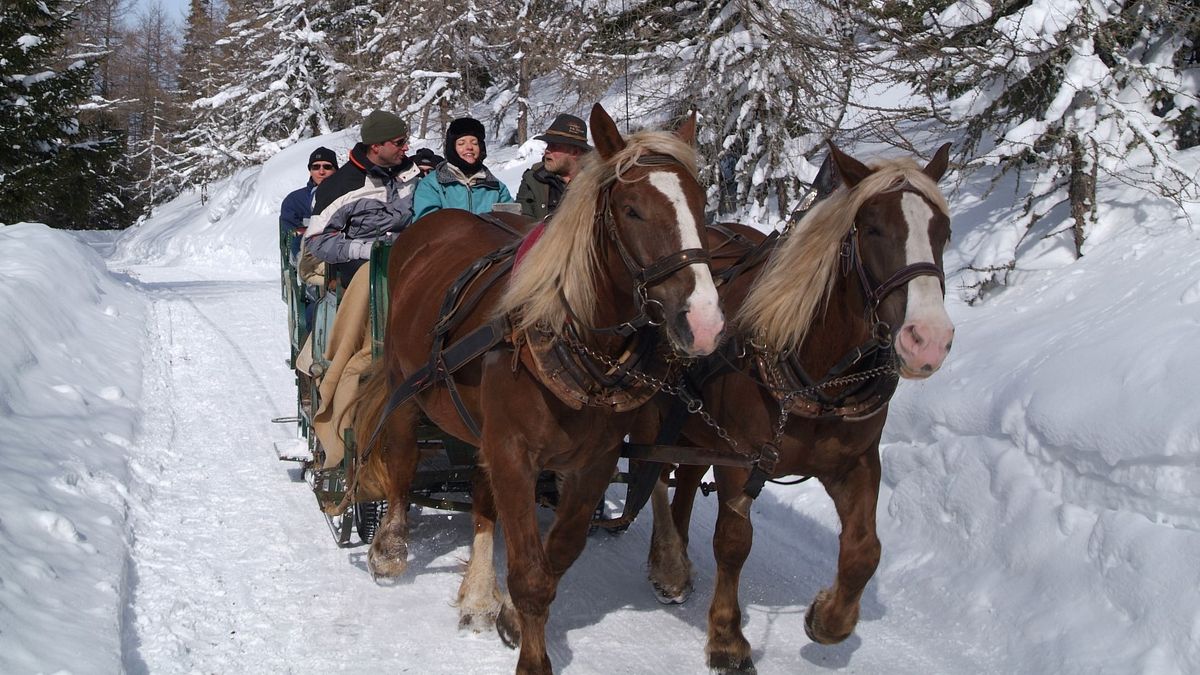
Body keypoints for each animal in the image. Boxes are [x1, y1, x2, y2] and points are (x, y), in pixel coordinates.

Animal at [355, 102, 724, 667]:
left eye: (702, 204)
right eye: (633, 210)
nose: (703, 322)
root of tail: (434, 224)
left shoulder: (591, 463)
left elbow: (558, 556)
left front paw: (507, 616)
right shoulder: (513, 450)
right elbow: (530, 575)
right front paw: (531, 656)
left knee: (480, 496)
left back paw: (478, 595)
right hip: (404, 383)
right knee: (401, 459)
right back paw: (391, 548)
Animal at [638, 139, 955, 667]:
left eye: (943, 231)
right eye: (872, 228)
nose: (928, 339)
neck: (818, 376)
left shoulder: (855, 462)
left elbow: (865, 551)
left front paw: (827, 620)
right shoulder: (740, 459)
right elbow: (733, 542)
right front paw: (726, 637)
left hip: (695, 427)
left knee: (682, 480)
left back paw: (674, 561)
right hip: (665, 414)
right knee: (657, 473)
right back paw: (668, 564)